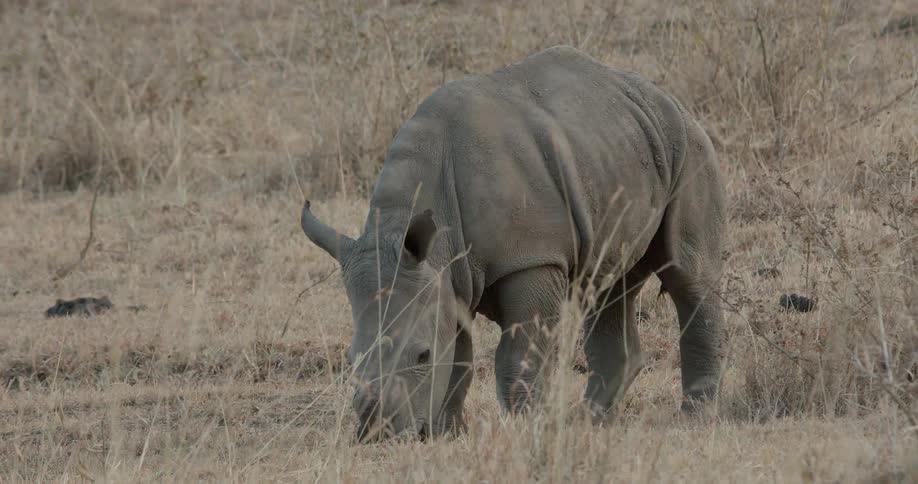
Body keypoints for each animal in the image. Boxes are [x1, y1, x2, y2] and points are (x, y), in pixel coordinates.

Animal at [300, 46, 725, 441]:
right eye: (350, 359)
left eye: (422, 354)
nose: (378, 436)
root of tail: (665, 95)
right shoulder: (445, 277)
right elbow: (459, 360)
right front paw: (447, 433)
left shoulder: (531, 258)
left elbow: (517, 356)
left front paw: (524, 429)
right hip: (616, 147)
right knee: (607, 286)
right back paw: (589, 423)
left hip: (688, 145)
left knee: (687, 276)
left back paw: (694, 418)